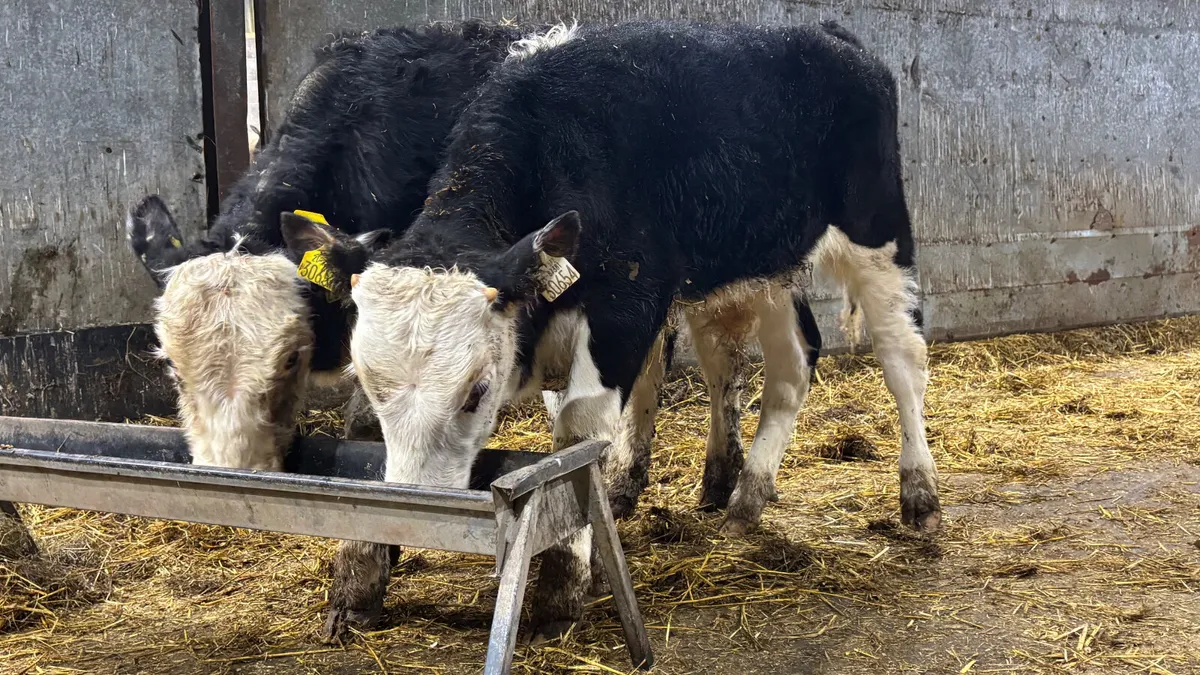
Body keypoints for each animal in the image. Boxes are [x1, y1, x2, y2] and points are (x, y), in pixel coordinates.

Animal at [282, 18, 941, 635]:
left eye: (477, 391)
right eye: (370, 386)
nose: (421, 515)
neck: (556, 144)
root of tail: (827, 34)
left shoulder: (624, 311)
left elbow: (577, 436)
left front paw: (560, 590)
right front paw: (357, 582)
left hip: (877, 232)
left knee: (902, 357)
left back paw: (920, 494)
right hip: (765, 265)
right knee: (793, 362)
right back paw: (746, 497)